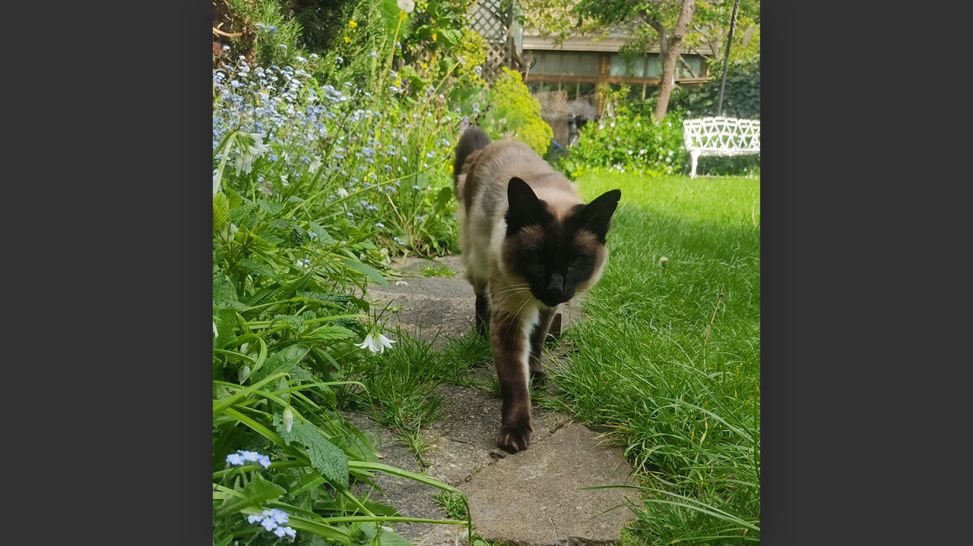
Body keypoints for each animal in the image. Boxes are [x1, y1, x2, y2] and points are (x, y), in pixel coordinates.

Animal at [452, 126, 620, 450]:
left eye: (576, 262)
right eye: (536, 257)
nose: (554, 288)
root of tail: (489, 147)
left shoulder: (546, 309)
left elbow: (538, 342)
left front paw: (538, 374)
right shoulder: (511, 316)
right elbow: (514, 382)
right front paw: (515, 433)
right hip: (478, 260)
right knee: (480, 298)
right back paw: (480, 334)